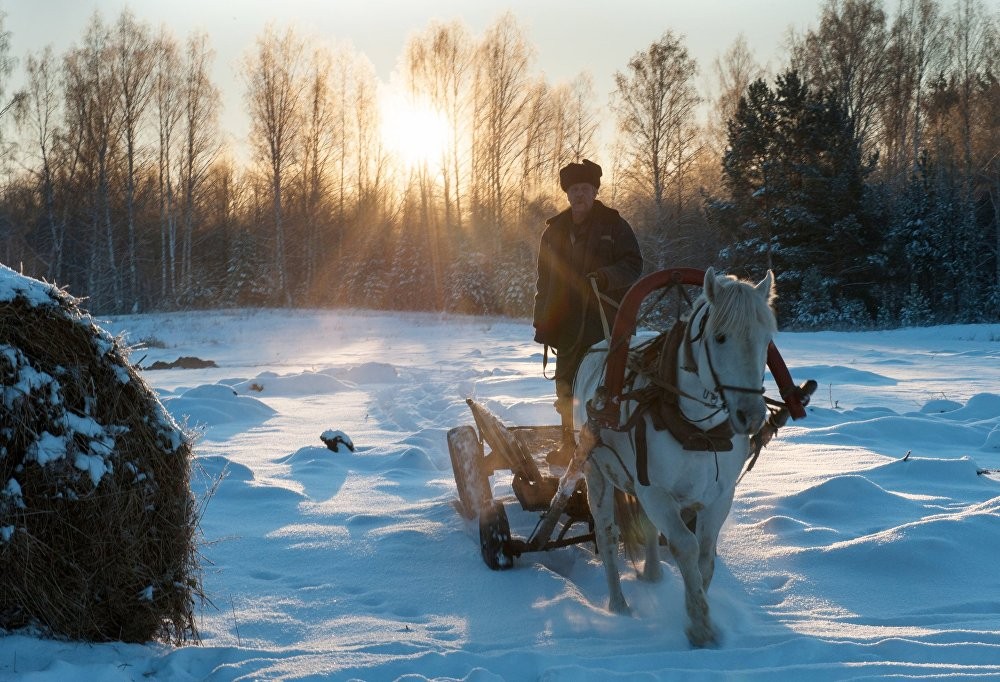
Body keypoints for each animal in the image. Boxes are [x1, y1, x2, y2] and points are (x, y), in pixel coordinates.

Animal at [576, 264, 776, 644]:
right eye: (720, 337)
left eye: (767, 338)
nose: (752, 416)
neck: (699, 430)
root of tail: (601, 344)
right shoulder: (655, 492)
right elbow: (685, 546)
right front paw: (699, 625)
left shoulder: (719, 496)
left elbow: (706, 555)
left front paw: (700, 610)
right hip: (596, 474)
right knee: (607, 534)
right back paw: (618, 605)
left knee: (647, 528)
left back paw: (653, 574)